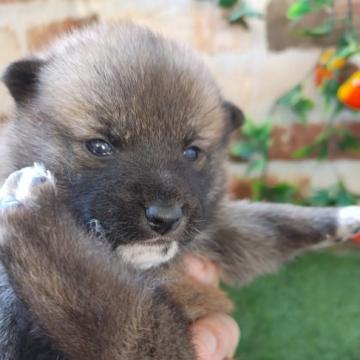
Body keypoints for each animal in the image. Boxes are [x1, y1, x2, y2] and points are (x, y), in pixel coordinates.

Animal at [0, 23, 360, 360]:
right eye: (100, 146)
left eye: (192, 152)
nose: (165, 217)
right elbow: (100, 302)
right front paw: (39, 216)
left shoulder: (217, 233)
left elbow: (272, 221)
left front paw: (344, 215)